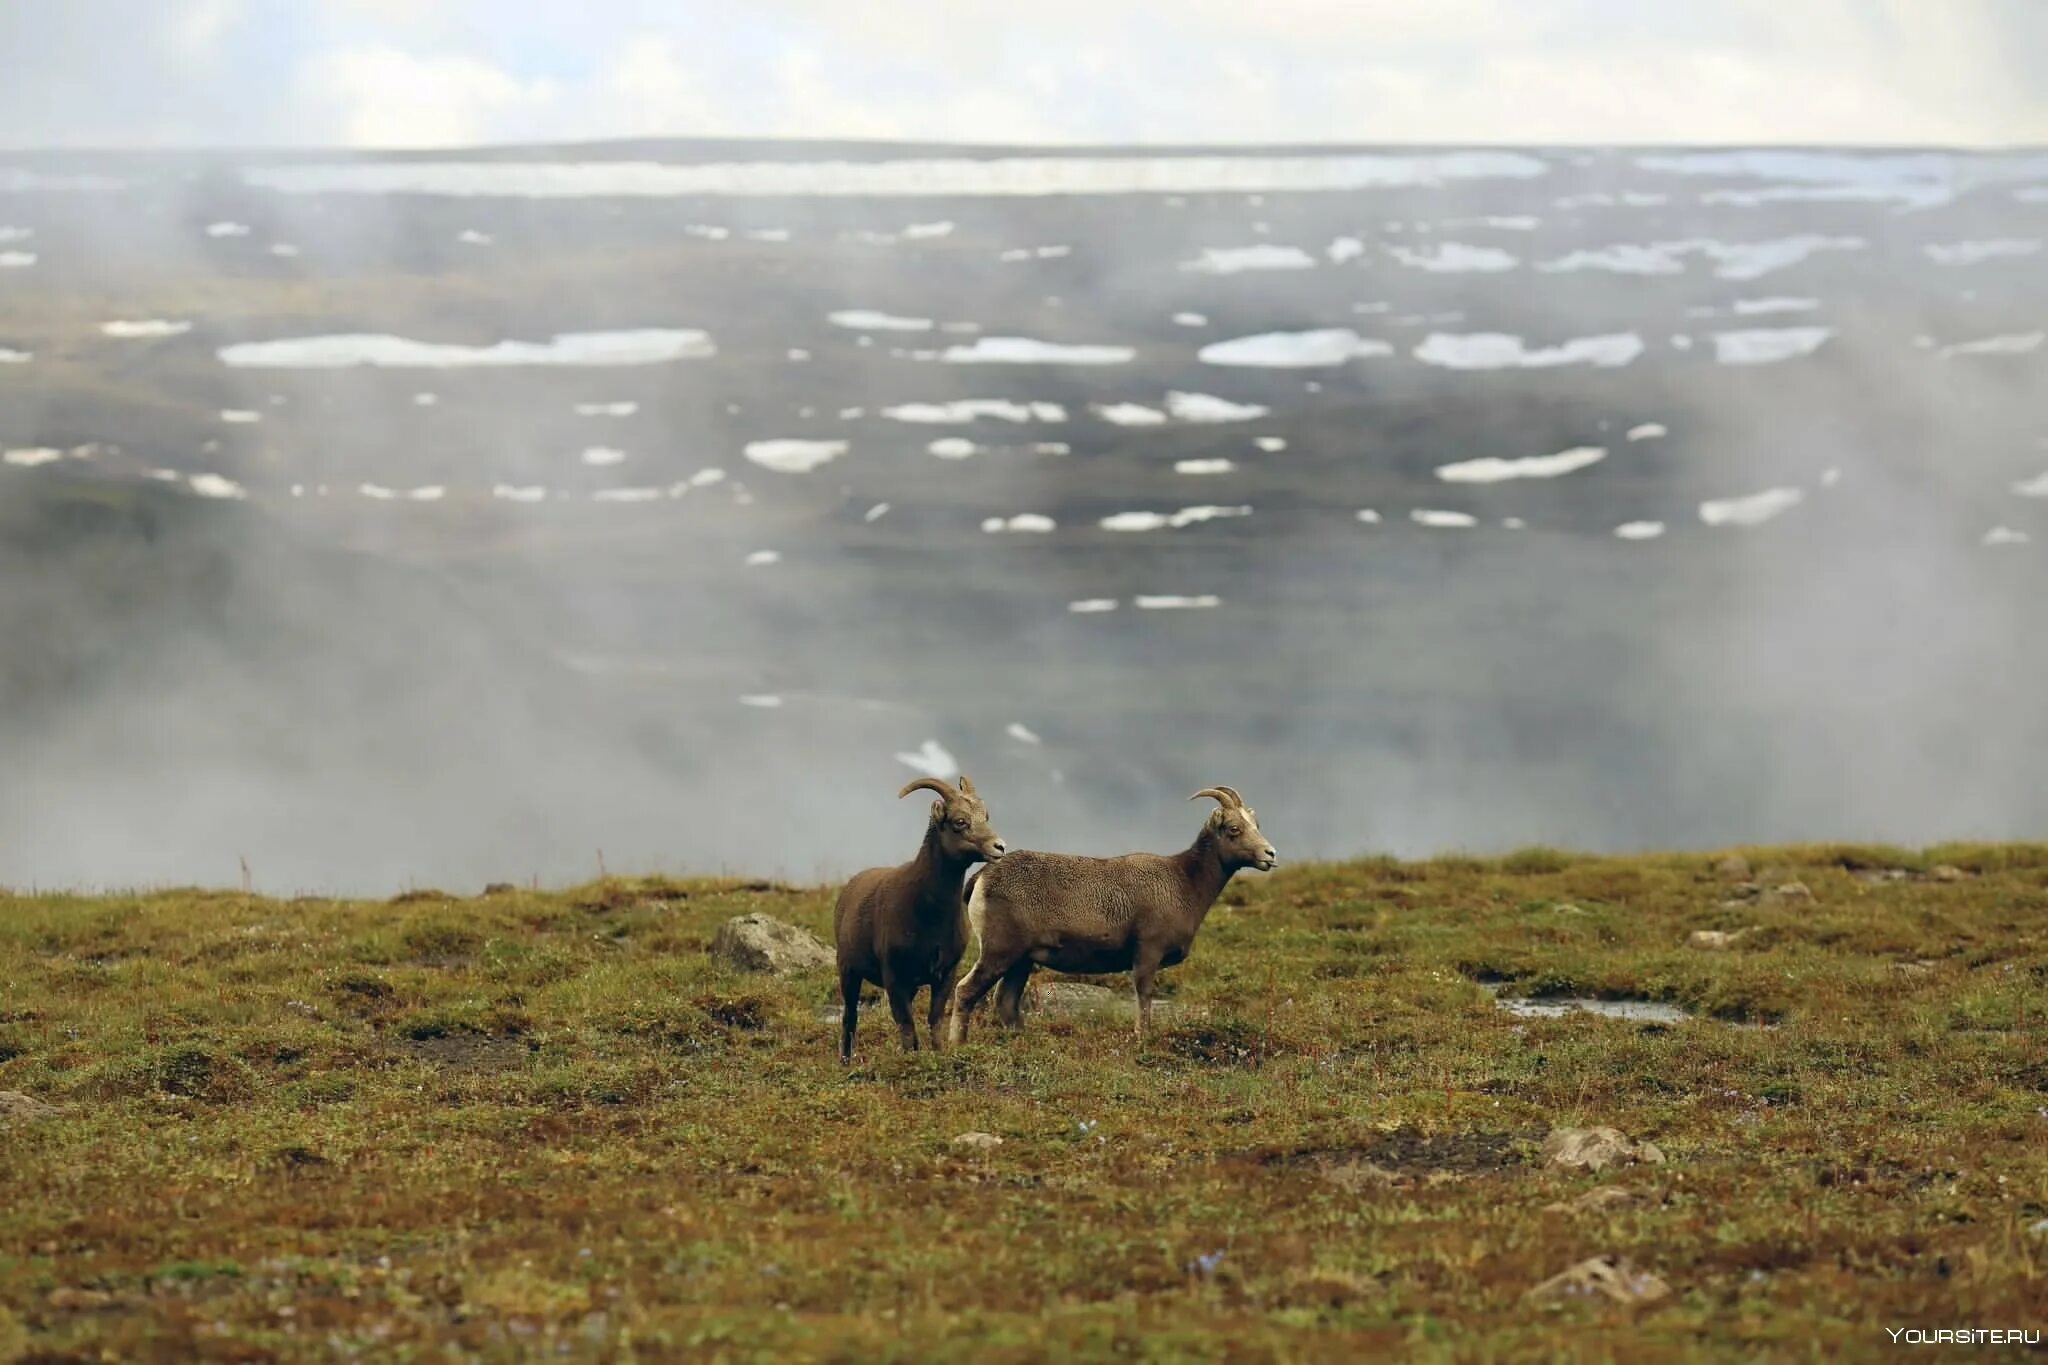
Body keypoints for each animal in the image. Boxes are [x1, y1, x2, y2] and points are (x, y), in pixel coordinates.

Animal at [831, 777, 1007, 1055]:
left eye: (985, 816)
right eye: (960, 821)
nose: (999, 846)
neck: (928, 916)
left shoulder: (945, 974)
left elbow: (934, 1019)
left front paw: (937, 1052)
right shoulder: (894, 976)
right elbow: (906, 1025)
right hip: (848, 970)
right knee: (849, 1018)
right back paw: (845, 1059)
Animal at [946, 785, 1269, 1039]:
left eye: (1255, 825)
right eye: (1234, 829)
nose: (1270, 854)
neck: (1184, 882)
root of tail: (982, 878)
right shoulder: (1147, 954)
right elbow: (1144, 996)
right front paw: (1141, 1036)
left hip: (1020, 961)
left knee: (1006, 1002)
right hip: (999, 953)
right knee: (965, 991)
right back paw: (956, 1044)